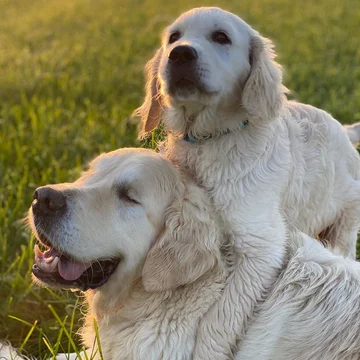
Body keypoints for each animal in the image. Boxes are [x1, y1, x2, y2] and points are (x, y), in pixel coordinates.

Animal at [134, 7, 360, 358]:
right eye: (173, 37)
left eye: (221, 37)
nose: (180, 53)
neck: (209, 140)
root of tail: (345, 132)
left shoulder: (261, 248)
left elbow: (220, 316)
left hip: (345, 222)